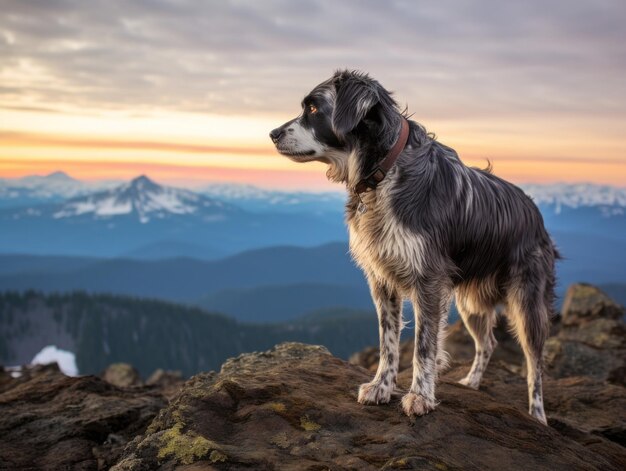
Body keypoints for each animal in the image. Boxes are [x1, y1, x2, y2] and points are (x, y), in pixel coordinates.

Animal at [268, 71, 556, 428]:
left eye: (313, 108)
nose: (272, 134)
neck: (384, 171)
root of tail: (535, 212)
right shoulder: (382, 279)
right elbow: (388, 341)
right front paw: (381, 386)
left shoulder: (428, 280)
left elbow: (423, 346)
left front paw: (420, 396)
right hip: (470, 302)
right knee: (488, 342)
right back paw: (472, 382)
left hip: (527, 302)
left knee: (535, 363)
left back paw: (537, 414)